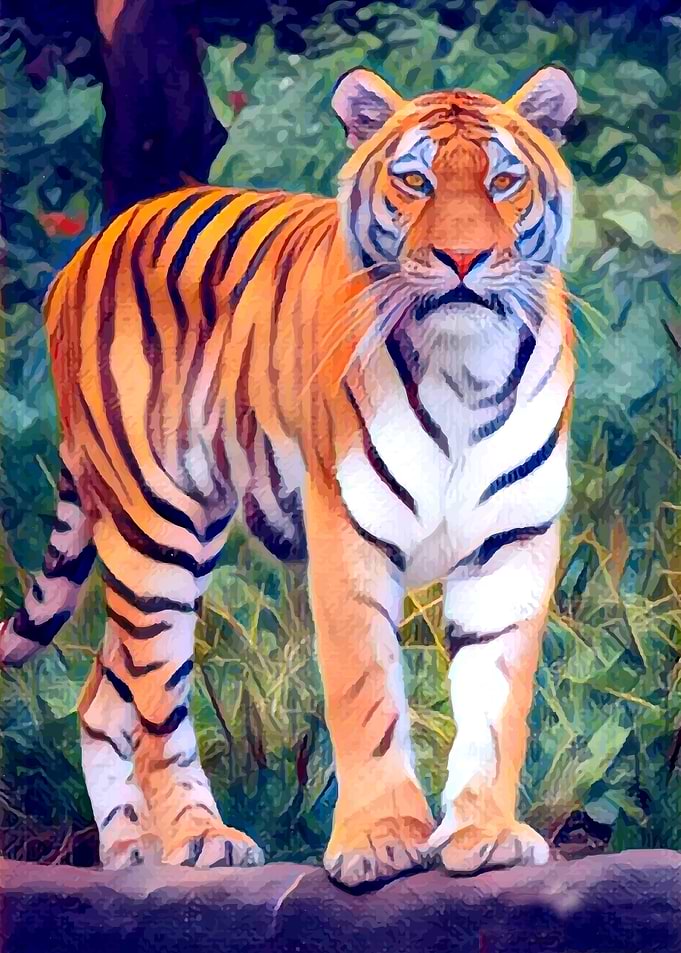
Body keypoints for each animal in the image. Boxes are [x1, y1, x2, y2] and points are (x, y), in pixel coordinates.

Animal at [0, 65, 577, 886]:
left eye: (503, 181)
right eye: (414, 180)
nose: (462, 259)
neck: (465, 366)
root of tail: (86, 249)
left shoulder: (512, 541)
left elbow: (496, 703)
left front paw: (484, 835)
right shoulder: (348, 535)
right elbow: (366, 695)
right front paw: (379, 841)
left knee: (102, 696)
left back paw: (129, 852)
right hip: (154, 531)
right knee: (156, 703)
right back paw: (198, 839)